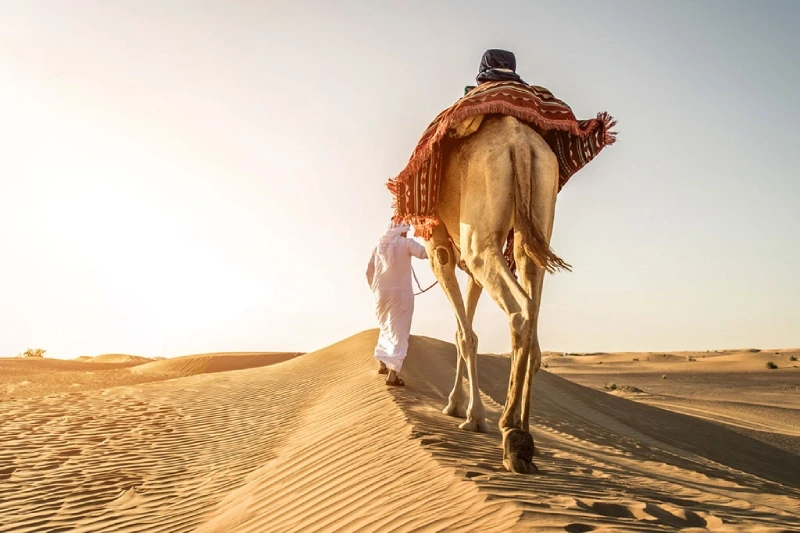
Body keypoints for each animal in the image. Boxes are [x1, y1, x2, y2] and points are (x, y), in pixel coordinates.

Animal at [424, 113, 568, 474]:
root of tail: (519, 142)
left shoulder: (439, 245)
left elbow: (465, 335)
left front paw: (470, 415)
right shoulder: (467, 265)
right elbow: (463, 329)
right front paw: (458, 405)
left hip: (479, 236)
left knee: (520, 311)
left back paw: (512, 433)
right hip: (536, 219)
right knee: (533, 308)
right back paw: (526, 435)